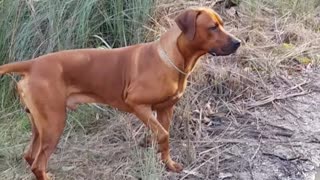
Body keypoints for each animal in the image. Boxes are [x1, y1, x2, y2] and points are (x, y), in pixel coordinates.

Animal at [0, 7, 240, 180]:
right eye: (212, 27)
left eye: (222, 24)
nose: (238, 42)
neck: (172, 58)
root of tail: (32, 64)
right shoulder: (137, 104)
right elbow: (163, 134)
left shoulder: (165, 109)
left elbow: (162, 137)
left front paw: (168, 164)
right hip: (54, 123)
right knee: (38, 164)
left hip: (40, 124)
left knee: (30, 156)